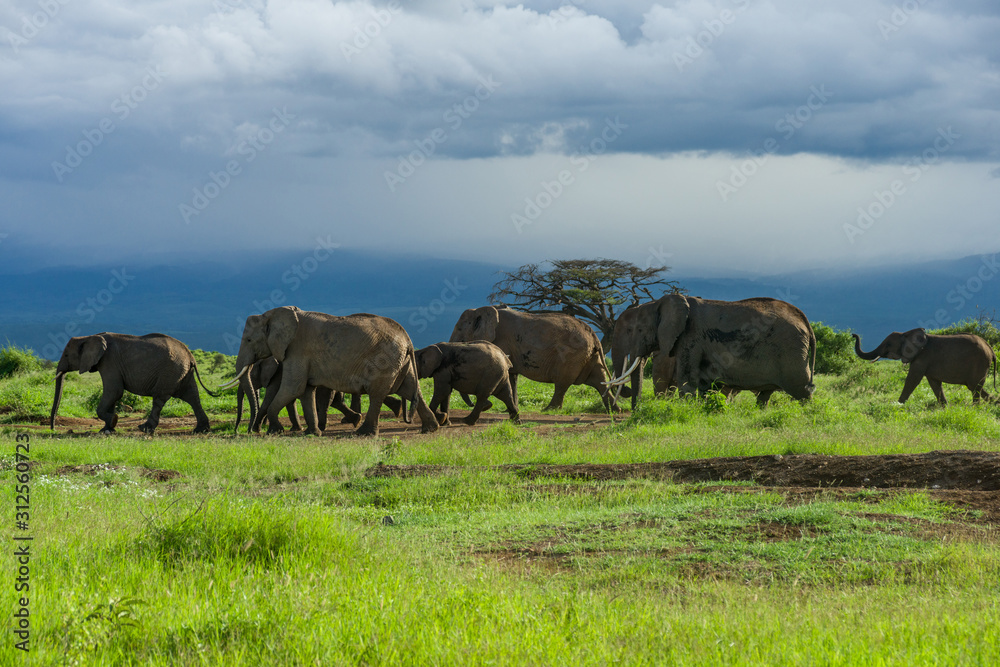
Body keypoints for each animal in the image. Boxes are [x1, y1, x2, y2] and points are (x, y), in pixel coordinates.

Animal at [49, 332, 218, 436]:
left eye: (66, 354)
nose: (53, 429)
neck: (89, 336)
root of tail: (191, 356)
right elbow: (113, 395)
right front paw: (106, 429)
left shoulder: (109, 361)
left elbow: (114, 391)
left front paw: (113, 421)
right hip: (182, 372)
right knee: (192, 396)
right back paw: (200, 430)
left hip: (170, 371)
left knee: (160, 398)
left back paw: (144, 429)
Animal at [228, 308, 438, 438]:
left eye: (248, 340)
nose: (246, 431)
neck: (273, 313)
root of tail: (407, 339)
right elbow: (306, 391)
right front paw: (312, 434)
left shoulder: (298, 350)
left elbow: (293, 388)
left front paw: (275, 431)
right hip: (401, 362)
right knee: (409, 389)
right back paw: (431, 428)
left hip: (385, 361)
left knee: (377, 393)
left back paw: (364, 433)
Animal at [448, 306, 616, 410]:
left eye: (460, 330)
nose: (487, 406)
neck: (483, 309)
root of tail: (593, 335)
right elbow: (512, 375)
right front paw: (511, 408)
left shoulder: (502, 341)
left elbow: (507, 373)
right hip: (589, 356)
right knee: (599, 380)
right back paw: (615, 410)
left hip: (572, 356)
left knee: (562, 383)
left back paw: (548, 410)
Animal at [608, 296, 812, 410]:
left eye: (636, 330)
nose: (636, 411)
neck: (658, 303)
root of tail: (804, 320)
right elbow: (705, 385)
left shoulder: (690, 337)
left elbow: (687, 381)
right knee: (766, 395)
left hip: (791, 350)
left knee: (802, 390)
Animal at [852, 330, 1000, 404]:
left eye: (888, 345)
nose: (853, 335)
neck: (906, 334)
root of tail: (991, 350)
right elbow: (934, 384)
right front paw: (944, 407)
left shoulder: (922, 358)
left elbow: (912, 379)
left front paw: (898, 405)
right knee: (975, 387)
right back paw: (995, 403)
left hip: (979, 363)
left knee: (975, 388)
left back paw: (976, 408)